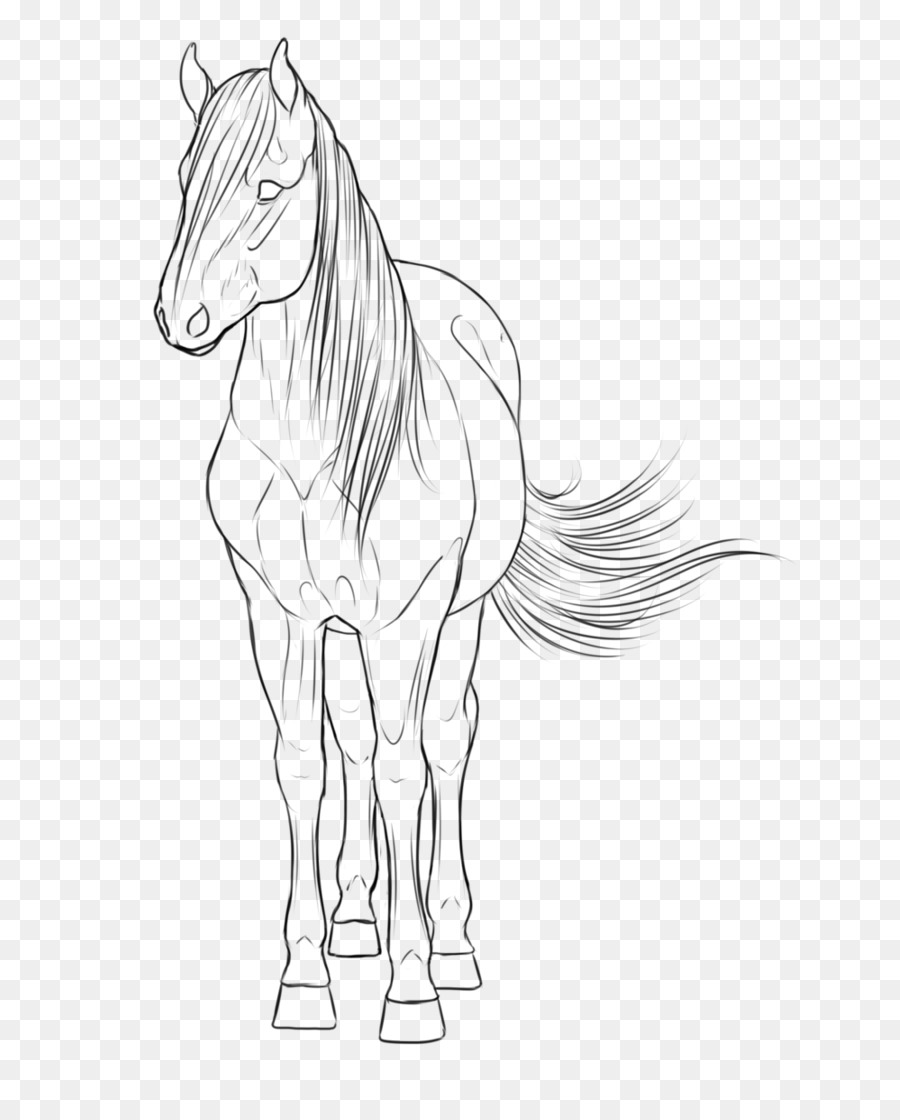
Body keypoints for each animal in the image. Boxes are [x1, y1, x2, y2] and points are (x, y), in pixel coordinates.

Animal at [156, 40, 767, 1043]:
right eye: (185, 182)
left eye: (269, 187)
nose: (180, 318)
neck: (314, 440)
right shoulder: (280, 612)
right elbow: (304, 765)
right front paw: (304, 977)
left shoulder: (407, 616)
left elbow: (407, 771)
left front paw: (411, 990)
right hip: (347, 629)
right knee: (355, 741)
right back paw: (353, 925)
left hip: (456, 615)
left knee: (443, 740)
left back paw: (448, 946)